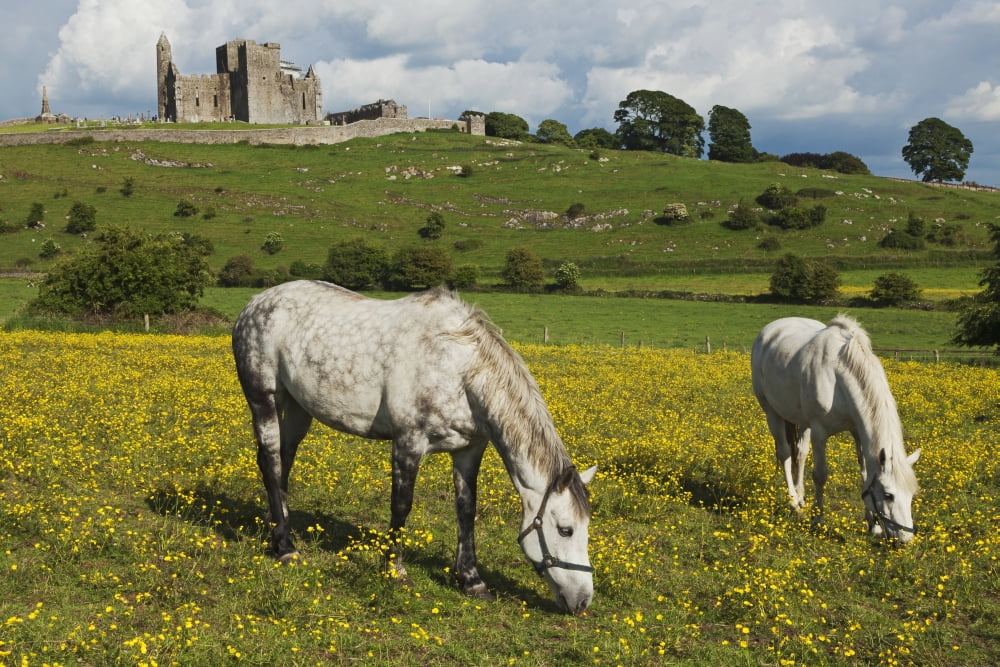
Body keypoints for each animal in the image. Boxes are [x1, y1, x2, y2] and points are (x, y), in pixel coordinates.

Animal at [232, 280, 597, 613]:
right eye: (565, 530)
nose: (582, 601)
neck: (458, 369)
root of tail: (254, 303)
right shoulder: (408, 443)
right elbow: (401, 505)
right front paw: (394, 570)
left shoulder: (468, 451)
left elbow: (466, 510)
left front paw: (472, 580)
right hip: (264, 399)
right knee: (271, 461)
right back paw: (285, 546)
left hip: (297, 408)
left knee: (283, 461)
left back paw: (276, 525)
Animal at [750, 315, 920, 542]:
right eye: (888, 495)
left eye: (911, 494)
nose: (905, 540)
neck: (838, 376)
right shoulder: (819, 432)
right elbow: (820, 475)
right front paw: (817, 520)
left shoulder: (857, 432)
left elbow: (865, 475)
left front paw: (872, 526)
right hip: (772, 412)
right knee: (785, 454)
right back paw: (794, 503)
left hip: (802, 421)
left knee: (800, 454)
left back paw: (801, 497)